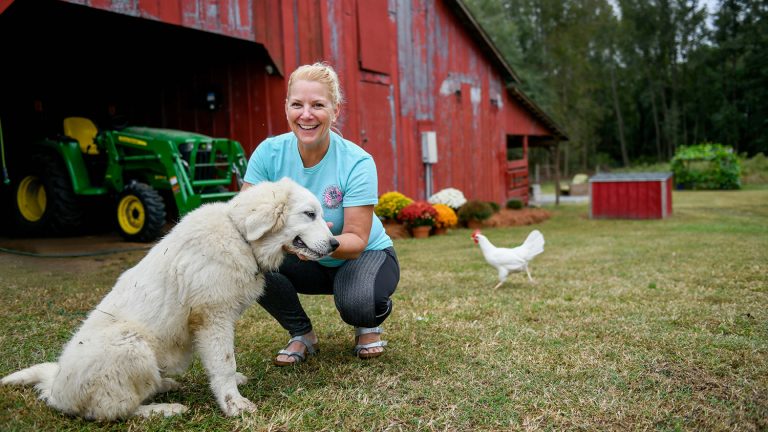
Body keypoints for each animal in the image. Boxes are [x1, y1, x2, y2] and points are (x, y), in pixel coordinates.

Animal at [1, 177, 336, 420]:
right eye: (309, 214)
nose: (335, 243)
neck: (240, 236)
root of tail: (56, 387)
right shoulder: (212, 318)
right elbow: (224, 363)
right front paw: (234, 405)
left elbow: (220, 363)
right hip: (131, 345)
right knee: (112, 411)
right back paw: (163, 410)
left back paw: (164, 386)